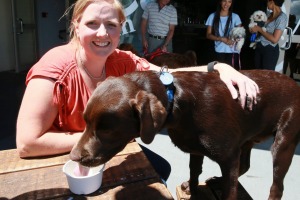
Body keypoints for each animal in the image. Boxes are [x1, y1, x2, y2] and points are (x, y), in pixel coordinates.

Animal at [69, 69, 300, 199]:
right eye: (85, 121)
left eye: (106, 129)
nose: (74, 156)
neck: (176, 102)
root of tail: (295, 83)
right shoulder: (195, 149)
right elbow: (194, 170)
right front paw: (192, 187)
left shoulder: (228, 156)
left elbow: (230, 189)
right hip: (248, 138)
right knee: (244, 166)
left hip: (284, 142)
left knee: (276, 186)